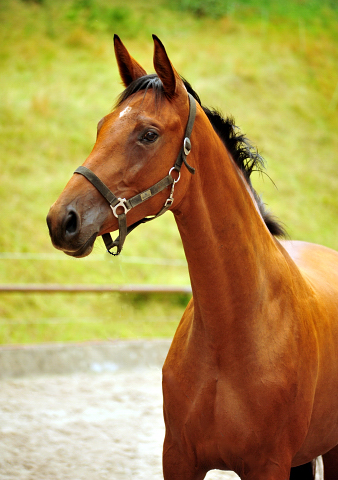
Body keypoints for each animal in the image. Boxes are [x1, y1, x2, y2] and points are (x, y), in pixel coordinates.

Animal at [45, 35, 338, 478]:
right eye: (101, 127)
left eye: (148, 134)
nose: (62, 220)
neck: (230, 334)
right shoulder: (179, 458)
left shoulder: (268, 465)